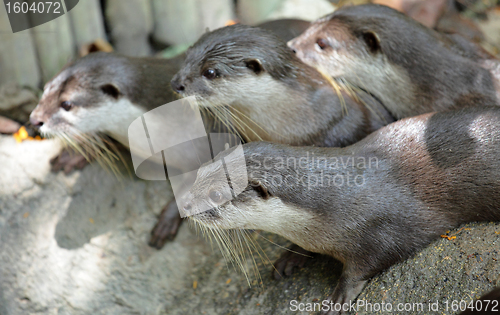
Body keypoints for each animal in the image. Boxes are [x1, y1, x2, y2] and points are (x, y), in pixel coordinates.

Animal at [184, 107, 500, 314]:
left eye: (215, 194)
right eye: (200, 171)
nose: (184, 203)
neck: (335, 202)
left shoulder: (388, 226)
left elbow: (371, 261)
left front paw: (338, 297)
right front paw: (290, 256)